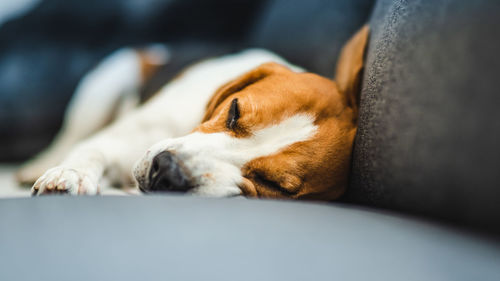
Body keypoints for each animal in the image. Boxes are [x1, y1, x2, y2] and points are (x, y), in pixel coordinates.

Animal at [17, 24, 370, 199]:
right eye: (234, 111)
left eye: (275, 185)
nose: (166, 171)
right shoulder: (114, 139)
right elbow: (91, 150)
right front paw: (70, 174)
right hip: (109, 80)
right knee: (69, 136)